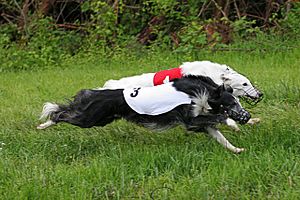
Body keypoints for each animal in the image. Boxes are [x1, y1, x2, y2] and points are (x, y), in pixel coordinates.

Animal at [38, 76, 252, 154]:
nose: (248, 116)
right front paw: (234, 123)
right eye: (233, 103)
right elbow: (218, 118)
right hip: (89, 119)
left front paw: (237, 150)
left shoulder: (201, 123)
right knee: (60, 114)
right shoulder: (190, 120)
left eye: (238, 102)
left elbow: (221, 138)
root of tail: (95, 93)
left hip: (100, 119)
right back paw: (43, 125)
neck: (204, 93)